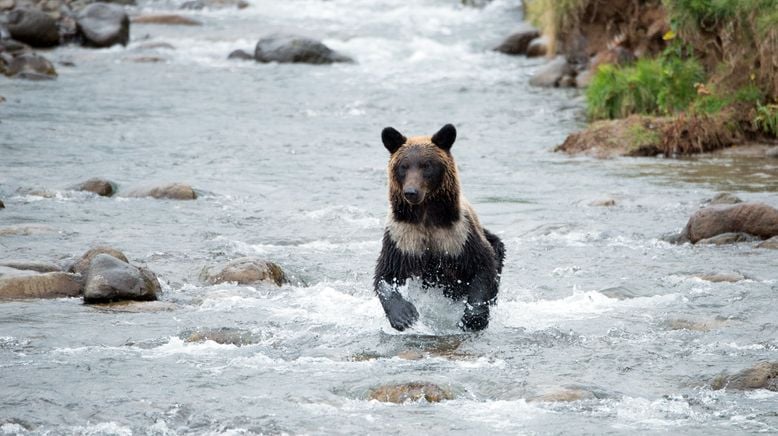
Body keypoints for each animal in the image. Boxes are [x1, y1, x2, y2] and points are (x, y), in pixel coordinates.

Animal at [374, 124, 506, 332]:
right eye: (404, 166)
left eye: (426, 165)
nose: (411, 192)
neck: (426, 215)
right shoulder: (402, 236)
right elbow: (386, 274)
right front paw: (404, 316)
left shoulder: (459, 235)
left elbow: (483, 266)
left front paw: (473, 318)